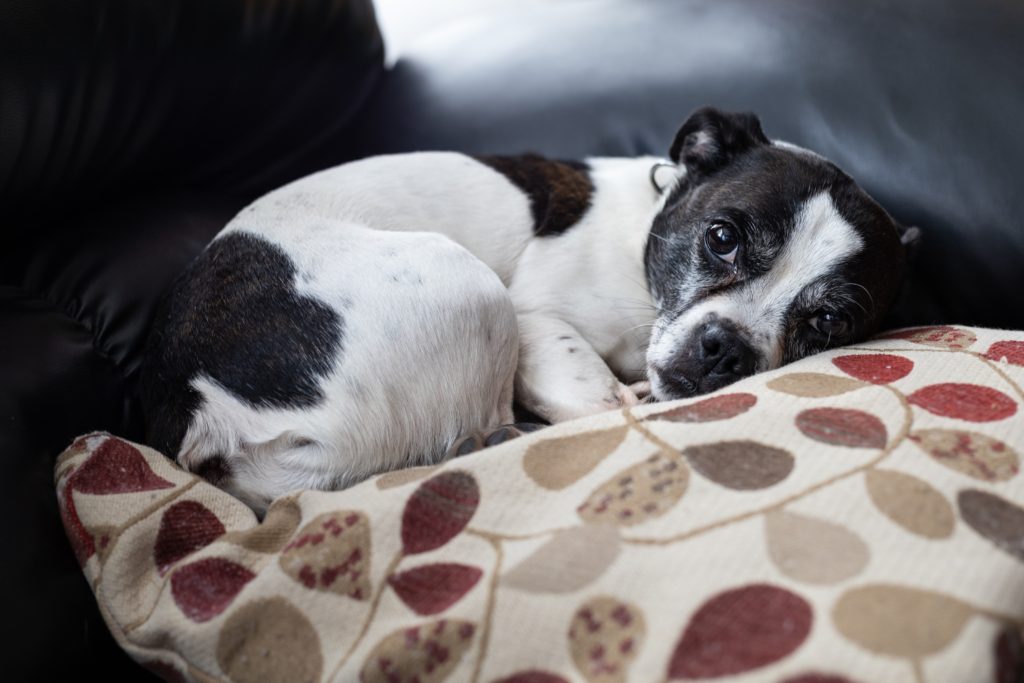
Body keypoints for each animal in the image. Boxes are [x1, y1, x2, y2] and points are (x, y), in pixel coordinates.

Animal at [138, 108, 921, 511]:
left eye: (828, 322)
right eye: (722, 237)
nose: (725, 348)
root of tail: (208, 408)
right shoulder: (536, 317)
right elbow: (593, 395)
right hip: (469, 284)